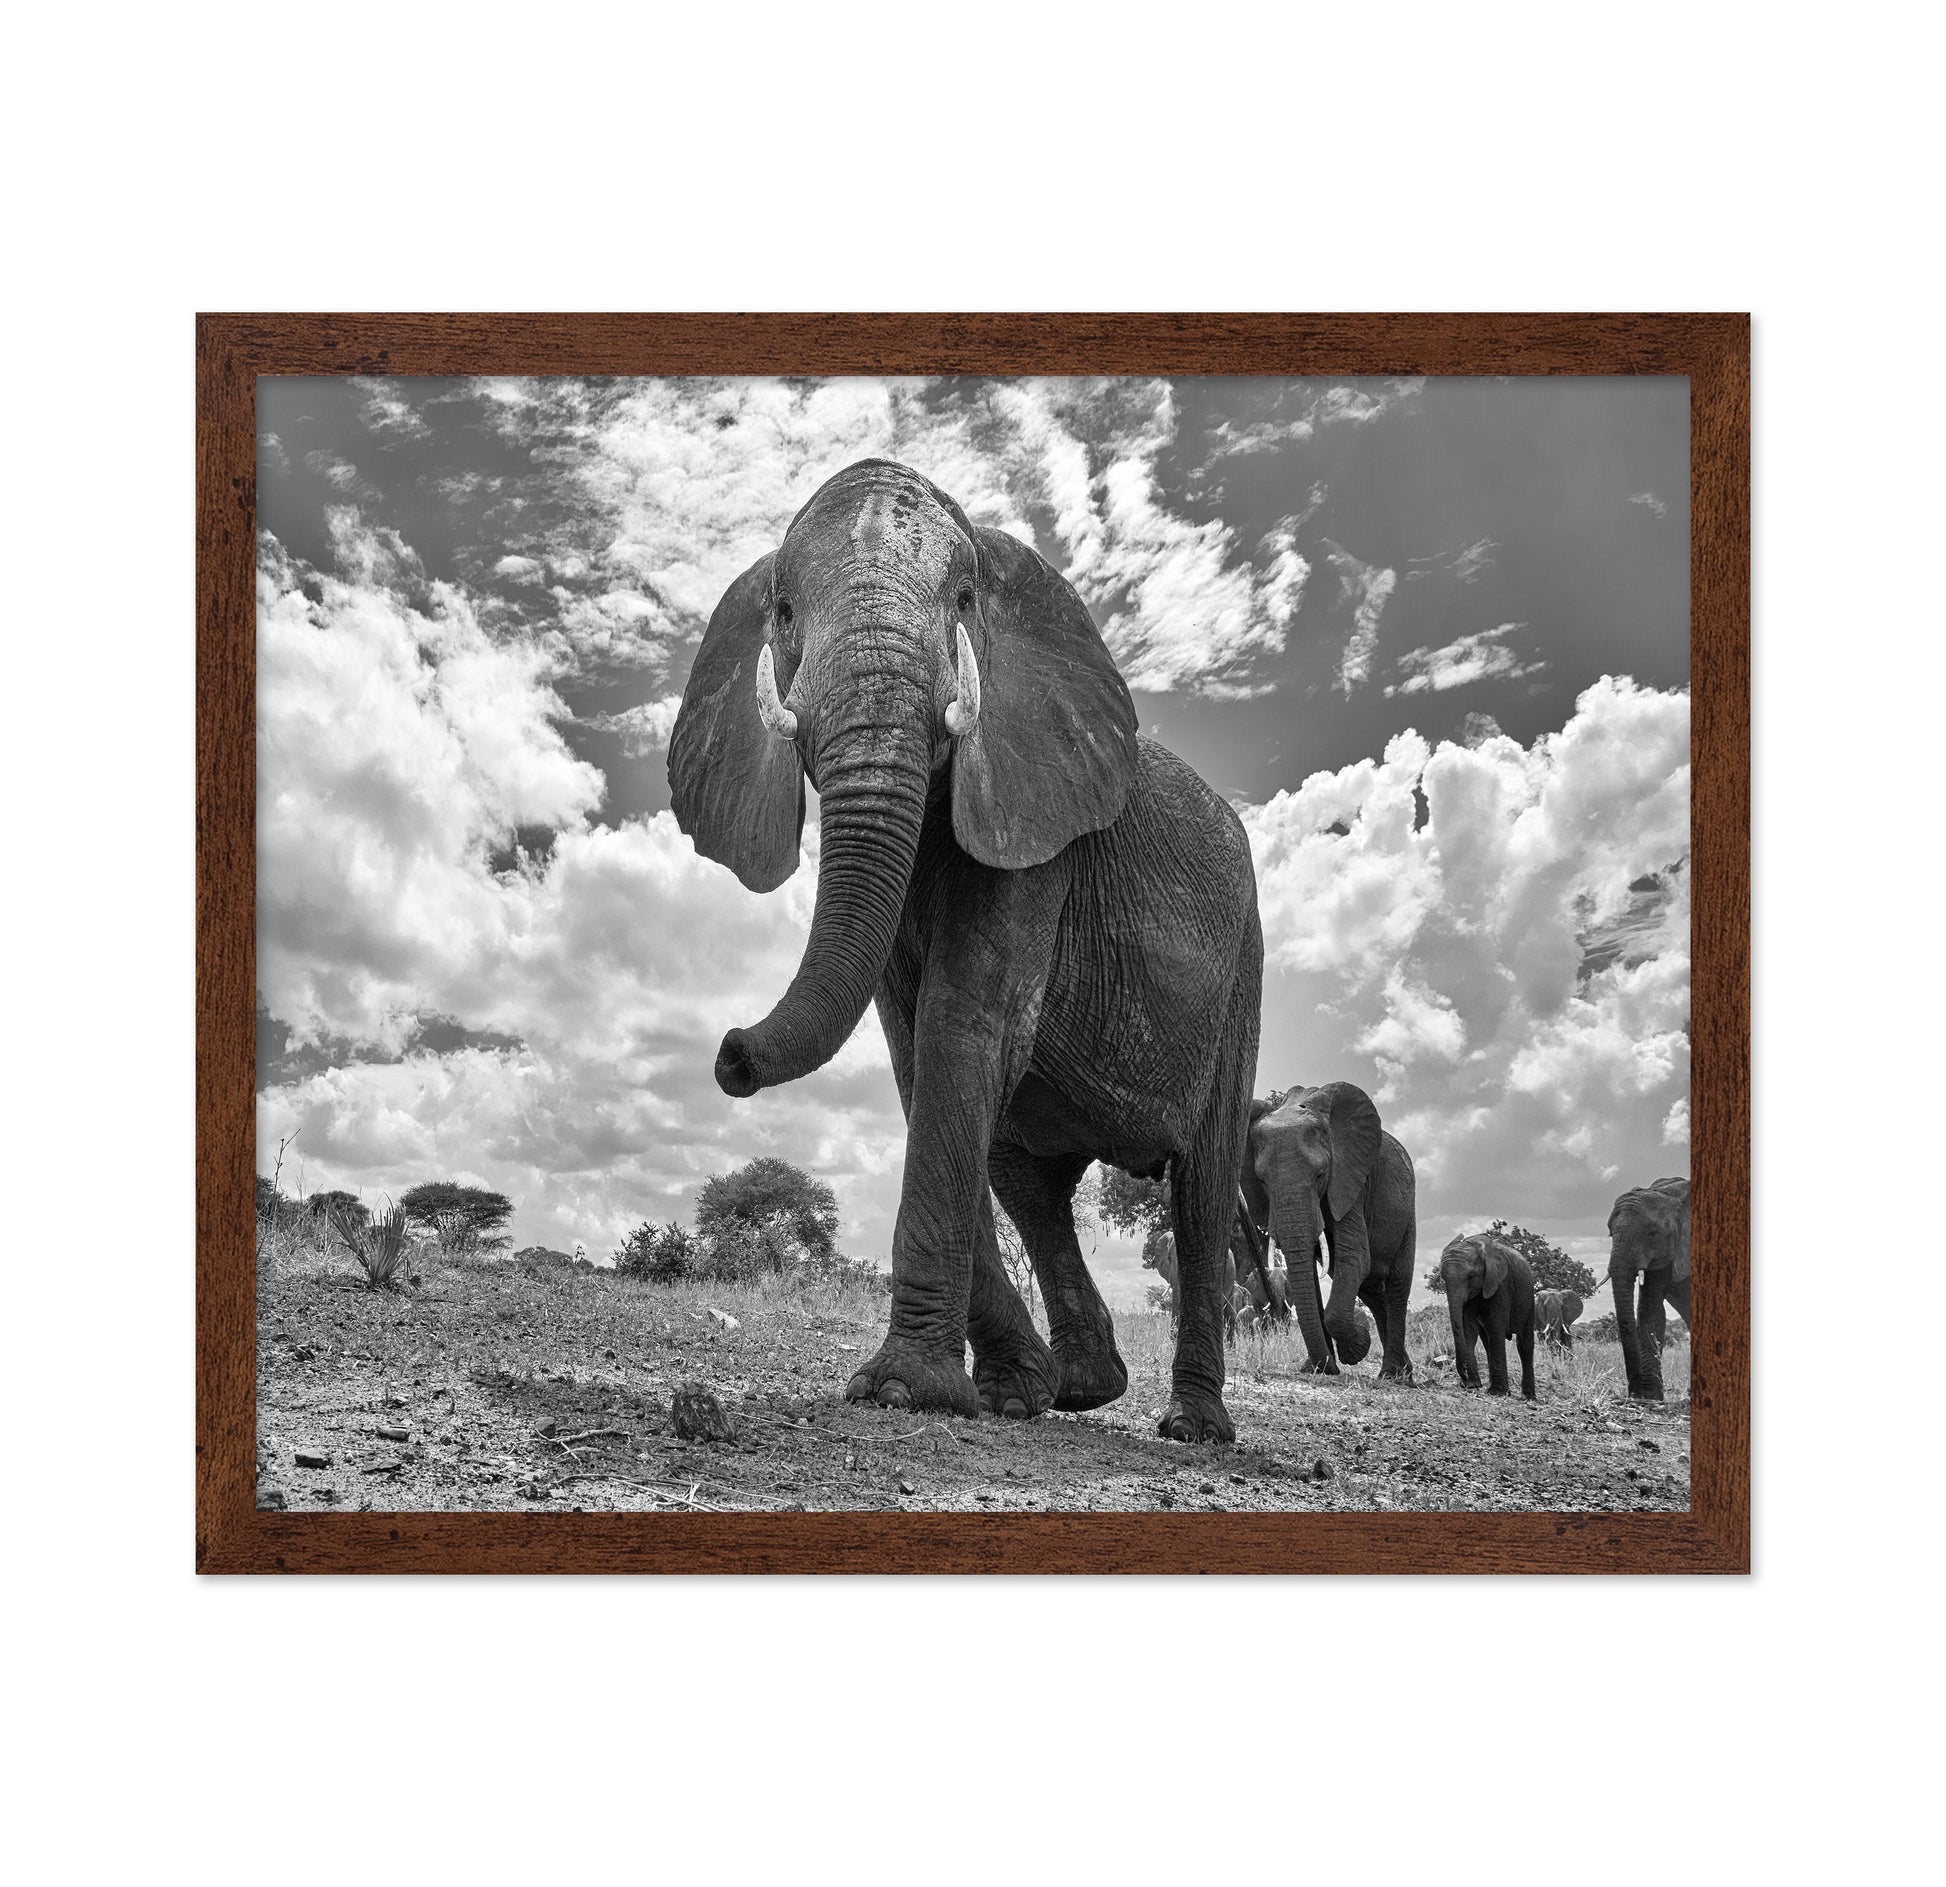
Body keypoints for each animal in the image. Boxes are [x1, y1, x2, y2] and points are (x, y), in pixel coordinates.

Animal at [667, 459, 1263, 1443]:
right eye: (782, 611)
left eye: (964, 599)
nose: (729, 1054)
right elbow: (919, 1059)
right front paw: (1001, 1391)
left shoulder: (1037, 828)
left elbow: (964, 1025)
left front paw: (902, 1390)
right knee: (1029, 1179)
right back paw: (1079, 1389)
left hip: (1244, 965)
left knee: (1204, 1186)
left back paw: (1193, 1427)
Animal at [1236, 1083, 1416, 1379]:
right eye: (1262, 1181)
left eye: (1321, 1174)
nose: (1325, 1367)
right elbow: (1309, 1270)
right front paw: (1318, 1368)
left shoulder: (1350, 1181)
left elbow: (1355, 1257)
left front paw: (1355, 1347)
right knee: (1373, 1291)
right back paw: (1402, 1371)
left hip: (1407, 1213)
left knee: (1397, 1284)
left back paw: (1394, 1375)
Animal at [1434, 1232, 1537, 1399]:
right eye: (1443, 1278)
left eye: (1470, 1276)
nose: (1463, 1382)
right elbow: (1468, 1328)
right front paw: (1473, 1385)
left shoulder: (1500, 1283)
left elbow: (1495, 1326)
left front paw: (1497, 1392)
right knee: (1486, 1340)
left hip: (1528, 1297)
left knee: (1524, 1344)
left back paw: (1528, 1397)